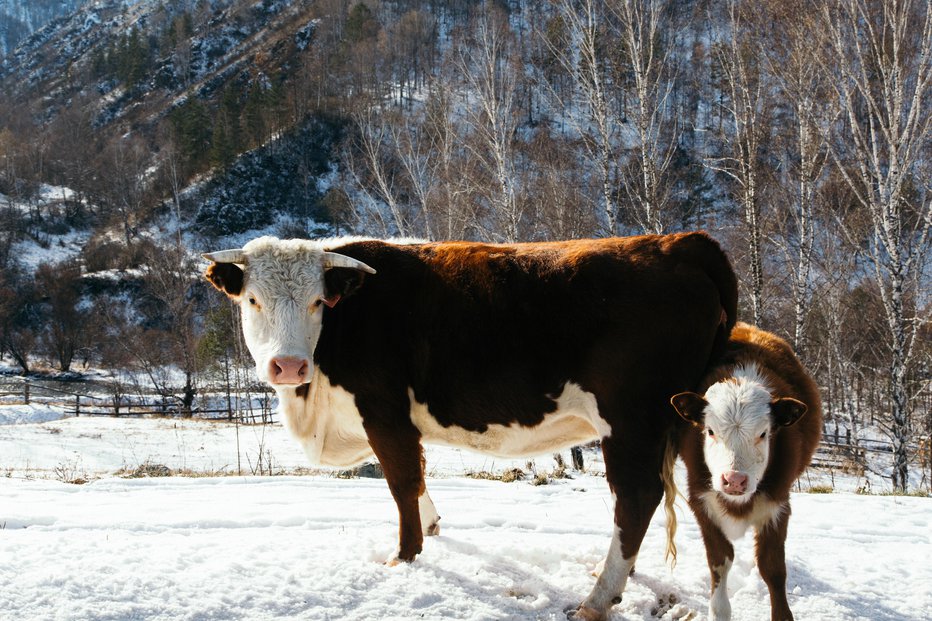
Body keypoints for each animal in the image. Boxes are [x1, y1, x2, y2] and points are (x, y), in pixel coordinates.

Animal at [668, 322, 824, 620]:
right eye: (710, 431)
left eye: (763, 433)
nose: (734, 480)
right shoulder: (701, 501)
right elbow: (720, 559)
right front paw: (719, 610)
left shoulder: (778, 505)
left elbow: (772, 567)